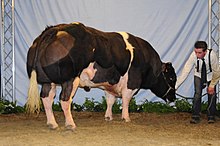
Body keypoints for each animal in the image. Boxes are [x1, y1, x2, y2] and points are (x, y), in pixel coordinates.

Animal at [26, 22, 177, 130]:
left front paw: (108, 117)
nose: (174, 97)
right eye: (172, 78)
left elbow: (110, 100)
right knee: (64, 99)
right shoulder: (132, 83)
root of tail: (53, 30)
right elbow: (126, 101)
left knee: (46, 98)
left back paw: (52, 124)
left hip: (47, 80)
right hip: (71, 78)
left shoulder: (109, 84)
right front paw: (126, 118)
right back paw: (70, 125)